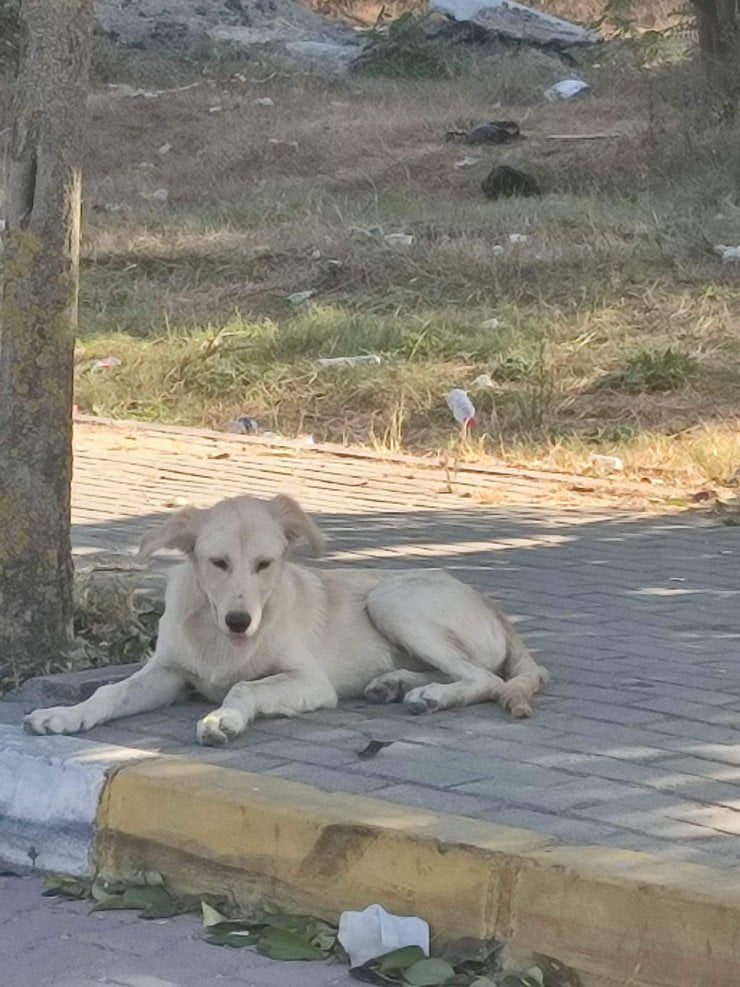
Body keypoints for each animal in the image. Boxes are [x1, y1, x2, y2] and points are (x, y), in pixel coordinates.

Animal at [23, 498, 548, 744]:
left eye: (265, 564)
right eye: (217, 563)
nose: (239, 621)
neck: (218, 640)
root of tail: (493, 606)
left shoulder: (310, 681)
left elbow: (245, 687)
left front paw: (224, 718)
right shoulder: (169, 674)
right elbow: (110, 692)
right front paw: (65, 715)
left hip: (392, 598)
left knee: (483, 678)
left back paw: (432, 695)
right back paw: (395, 684)